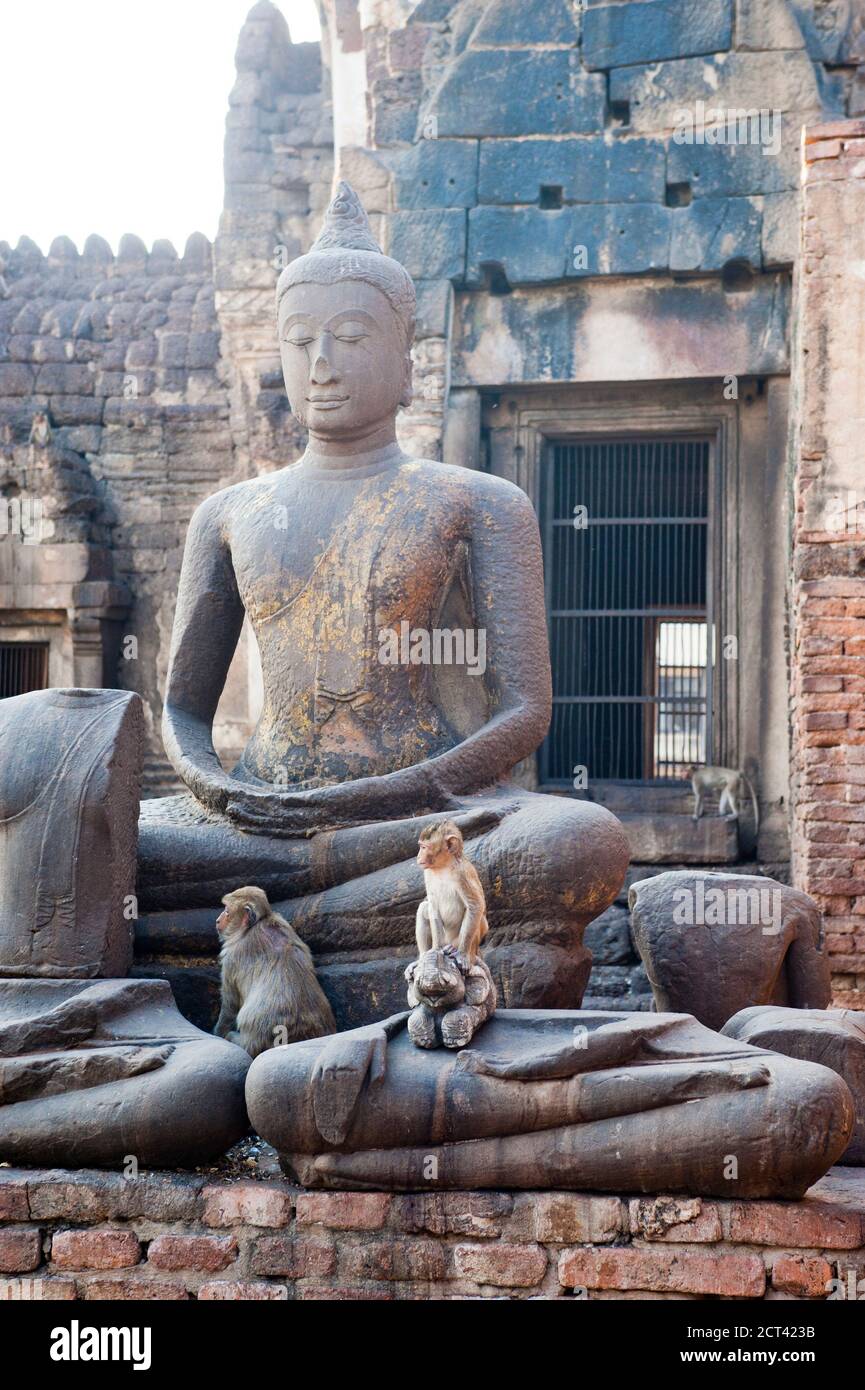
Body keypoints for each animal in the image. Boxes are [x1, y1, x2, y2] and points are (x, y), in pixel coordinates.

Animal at [215, 884, 337, 1056]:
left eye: (226, 911)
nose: (218, 920)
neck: (254, 925)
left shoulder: (233, 955)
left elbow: (230, 1005)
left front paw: (218, 1032)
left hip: (252, 1043)